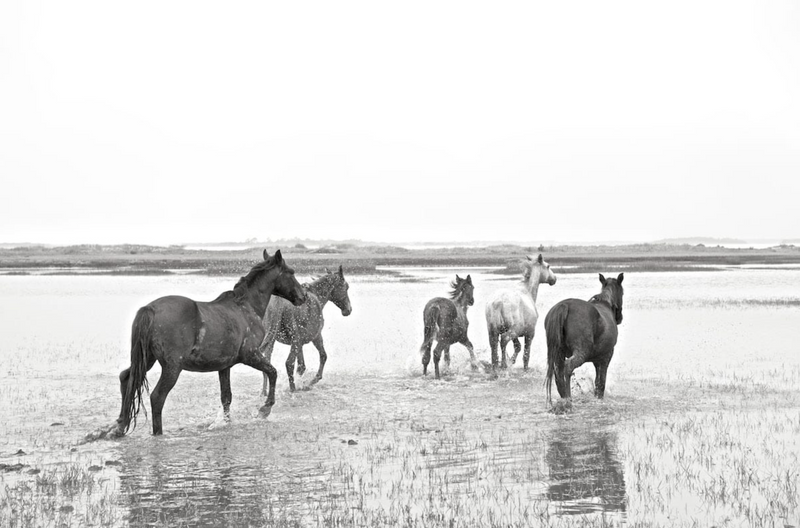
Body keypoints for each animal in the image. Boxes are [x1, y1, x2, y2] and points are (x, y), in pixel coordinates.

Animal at [109, 250, 304, 436]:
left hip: (147, 360)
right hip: (172, 368)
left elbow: (226, 397)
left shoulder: (224, 366)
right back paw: (157, 433)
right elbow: (272, 372)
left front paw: (226, 423)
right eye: (291, 272)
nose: (302, 297)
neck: (245, 307)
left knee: (126, 379)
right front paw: (265, 409)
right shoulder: (251, 355)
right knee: (157, 397)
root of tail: (150, 309)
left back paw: (119, 426)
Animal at [260, 264, 352, 392]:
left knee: (267, 363)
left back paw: (264, 391)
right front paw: (310, 383)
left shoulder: (300, 343)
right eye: (346, 286)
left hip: (273, 339)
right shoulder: (316, 337)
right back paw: (293, 390)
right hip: (293, 339)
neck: (317, 296)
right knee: (289, 363)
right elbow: (323, 356)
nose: (348, 310)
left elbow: (301, 366)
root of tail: (279, 302)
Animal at [544, 272, 624, 404]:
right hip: (581, 353)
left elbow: (597, 382)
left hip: (558, 353)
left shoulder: (597, 360)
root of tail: (564, 305)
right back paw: (569, 398)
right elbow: (601, 383)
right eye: (622, 293)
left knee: (558, 374)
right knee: (568, 368)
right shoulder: (606, 357)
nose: (620, 318)